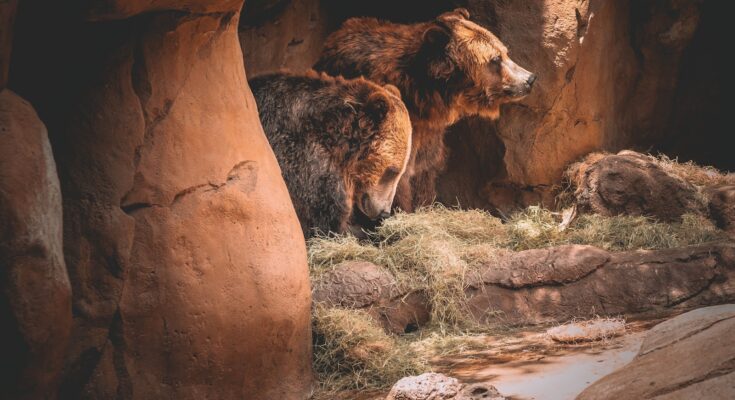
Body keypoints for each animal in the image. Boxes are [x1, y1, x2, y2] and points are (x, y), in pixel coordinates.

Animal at [314, 7, 536, 211]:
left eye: (504, 51)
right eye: (495, 59)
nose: (530, 79)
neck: (423, 97)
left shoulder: (429, 132)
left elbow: (425, 168)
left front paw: (423, 204)